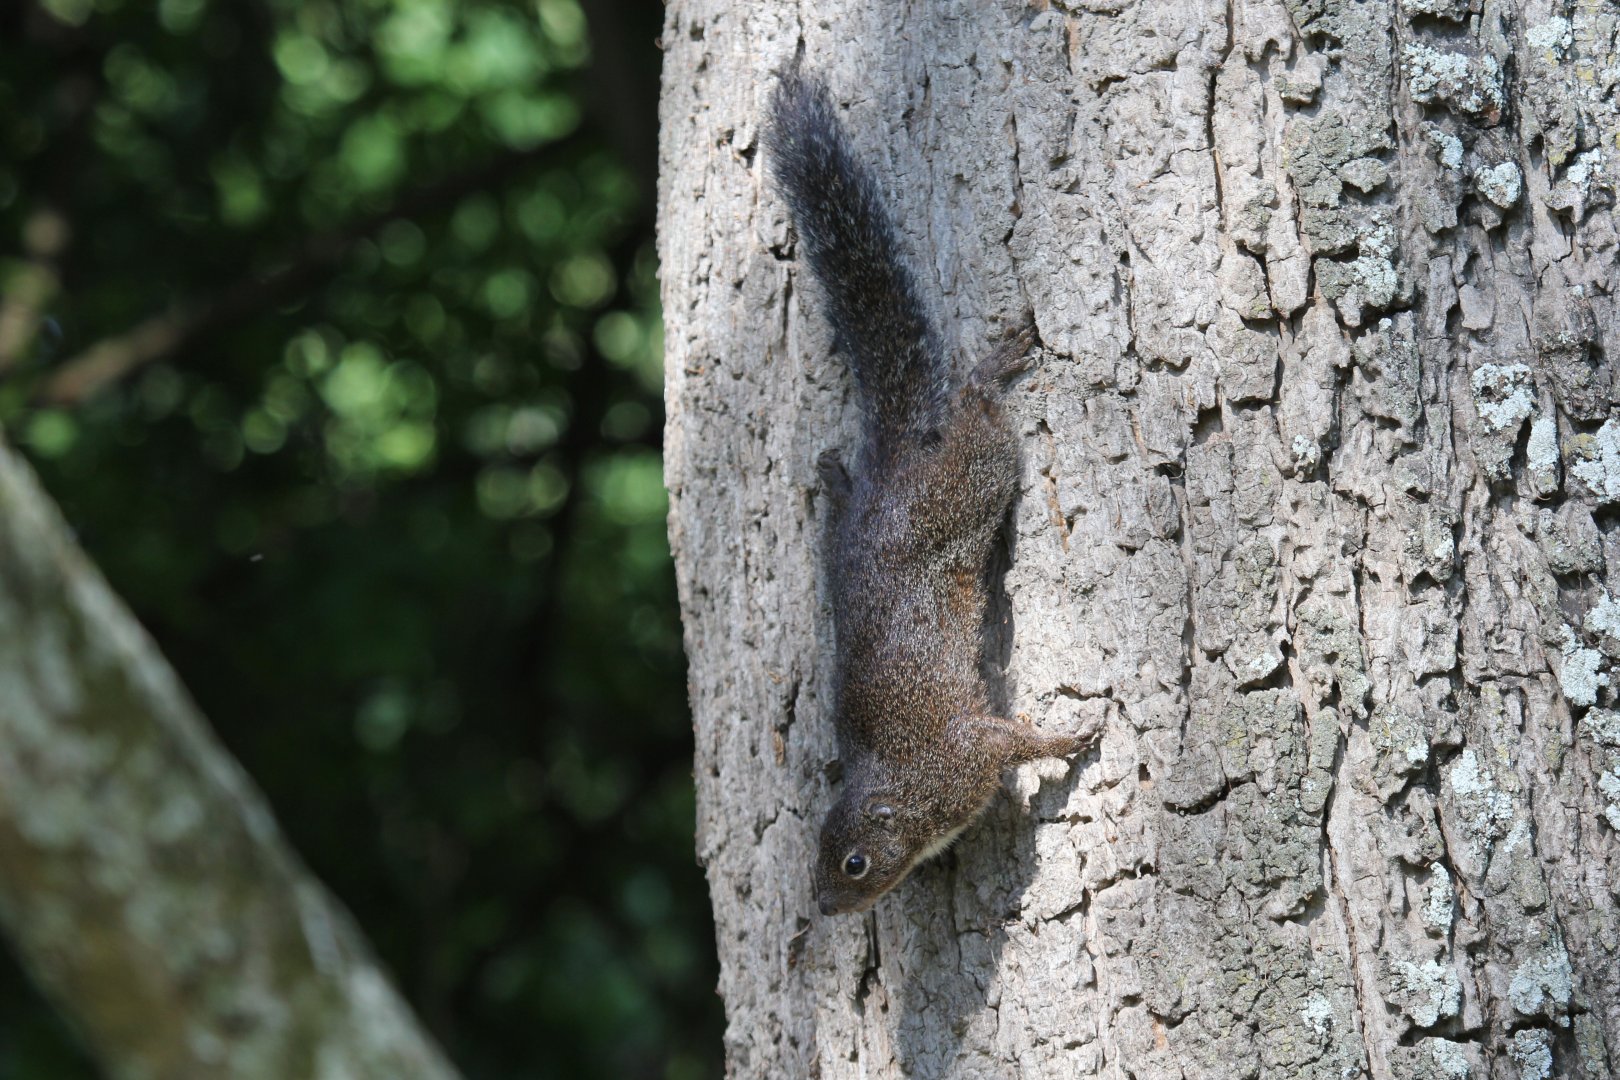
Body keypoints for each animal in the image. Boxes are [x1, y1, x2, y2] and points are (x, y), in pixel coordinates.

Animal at [765, 64, 1091, 917]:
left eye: (853, 863)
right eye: (814, 858)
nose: (823, 908)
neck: (907, 789)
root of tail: (896, 450)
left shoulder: (966, 750)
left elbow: (1018, 741)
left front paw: (1068, 738)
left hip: (971, 478)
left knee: (976, 410)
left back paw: (993, 366)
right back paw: (834, 479)